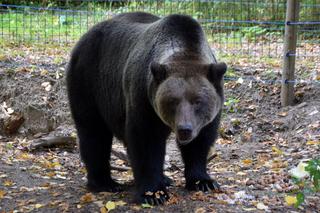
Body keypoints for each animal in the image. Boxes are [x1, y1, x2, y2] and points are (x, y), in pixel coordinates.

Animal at [67, 11, 228, 205]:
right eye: (173, 100)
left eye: (197, 101)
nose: (185, 129)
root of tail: (84, 37)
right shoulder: (143, 97)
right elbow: (146, 141)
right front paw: (153, 194)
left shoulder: (208, 115)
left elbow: (200, 142)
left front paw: (203, 182)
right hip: (89, 81)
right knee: (94, 132)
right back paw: (105, 182)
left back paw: (164, 178)